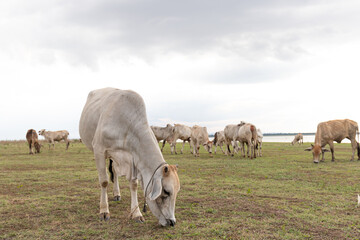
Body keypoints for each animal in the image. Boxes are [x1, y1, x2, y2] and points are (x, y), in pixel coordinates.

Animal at [79, 88, 180, 227]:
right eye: (166, 191)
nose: (172, 222)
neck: (127, 126)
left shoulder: (132, 159)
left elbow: (134, 184)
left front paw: (137, 214)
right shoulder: (99, 150)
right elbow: (104, 181)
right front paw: (104, 211)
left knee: (115, 172)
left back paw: (117, 194)